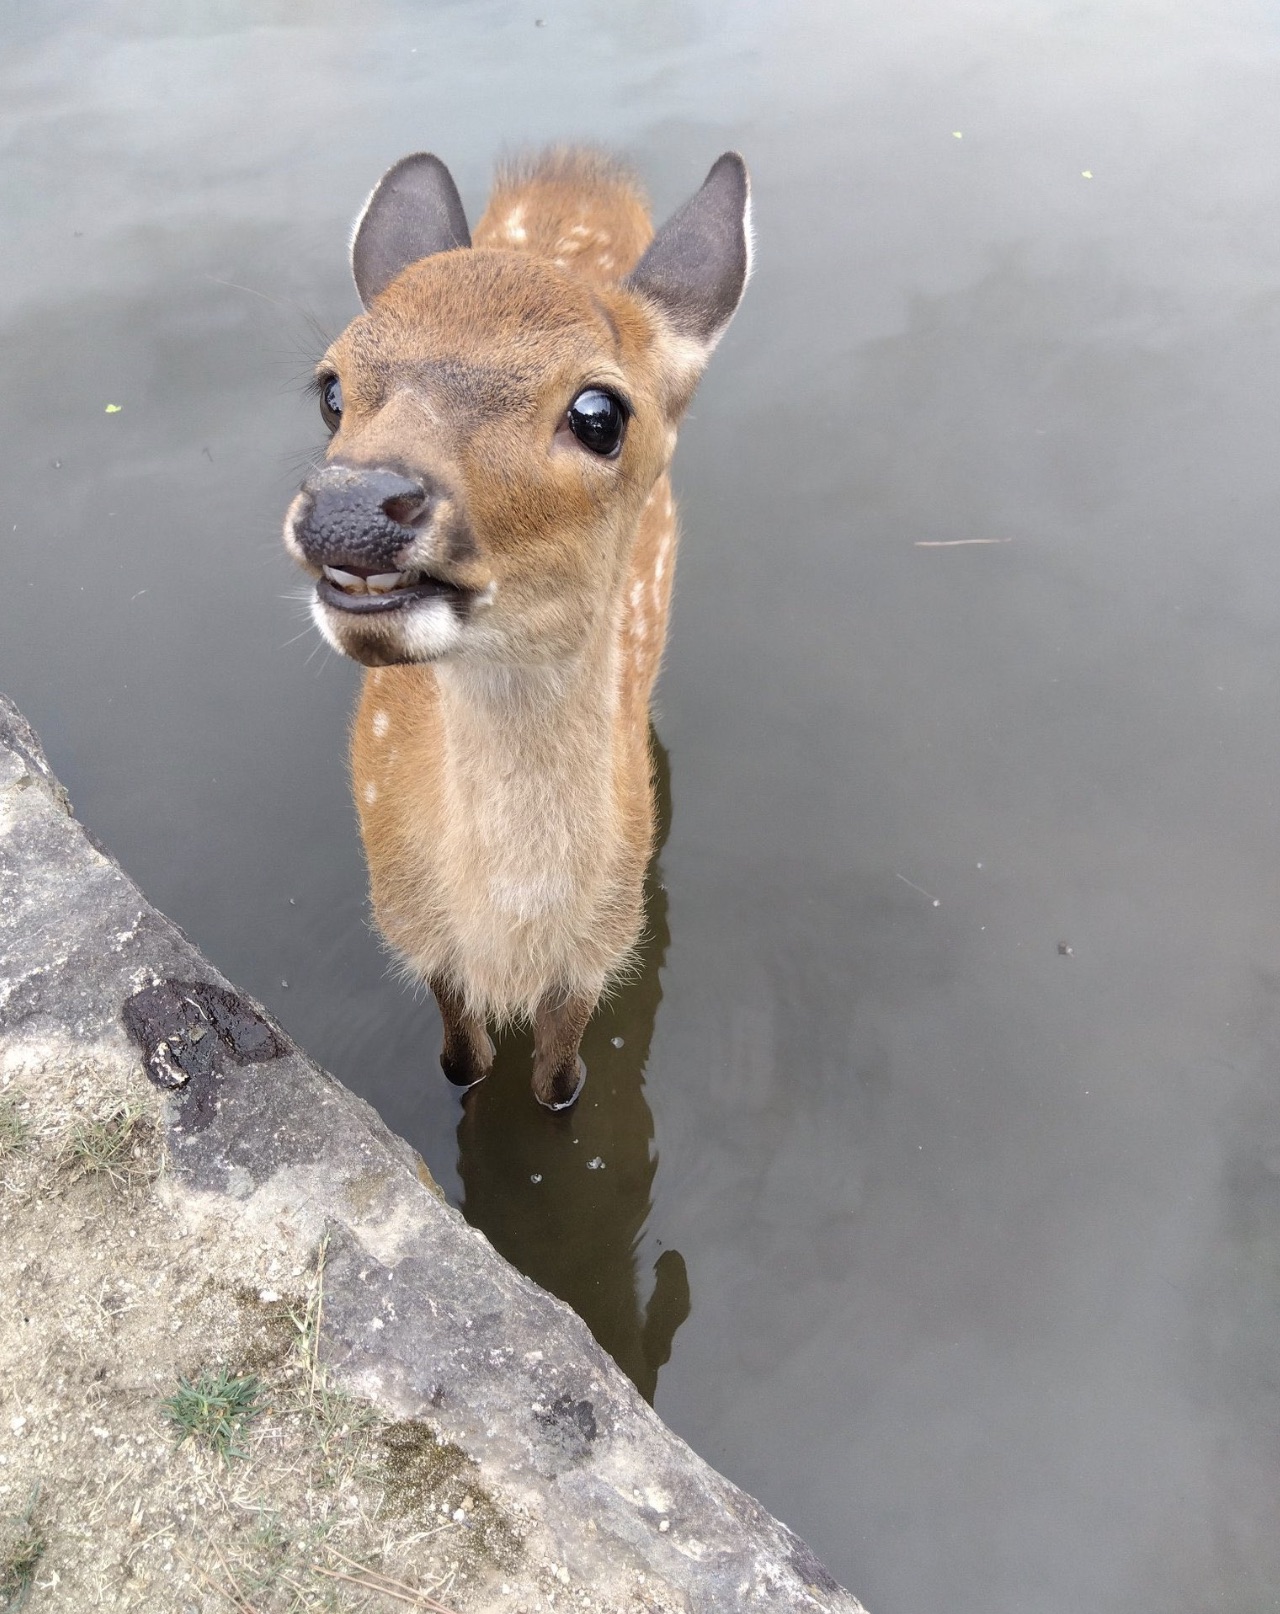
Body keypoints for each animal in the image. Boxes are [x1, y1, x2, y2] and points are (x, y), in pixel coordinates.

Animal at [279, 148, 748, 1110]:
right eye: (332, 388)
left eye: (600, 413)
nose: (350, 509)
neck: (510, 942)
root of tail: (574, 173)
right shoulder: (412, 928)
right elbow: (460, 1059)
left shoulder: (603, 947)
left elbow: (558, 1085)